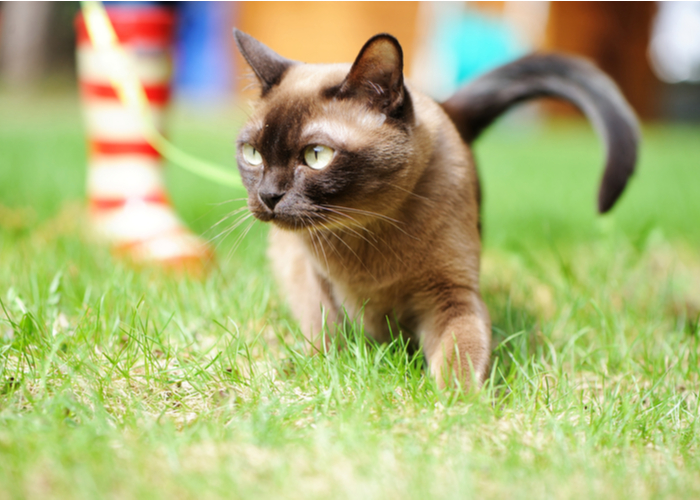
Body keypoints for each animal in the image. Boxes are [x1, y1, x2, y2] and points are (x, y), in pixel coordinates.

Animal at [232, 29, 636, 388]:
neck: (364, 234)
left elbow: (461, 355)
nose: (269, 196)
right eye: (252, 154)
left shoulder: (452, 294)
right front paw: (315, 372)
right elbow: (327, 334)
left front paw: (457, 407)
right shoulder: (313, 276)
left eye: (316, 156)